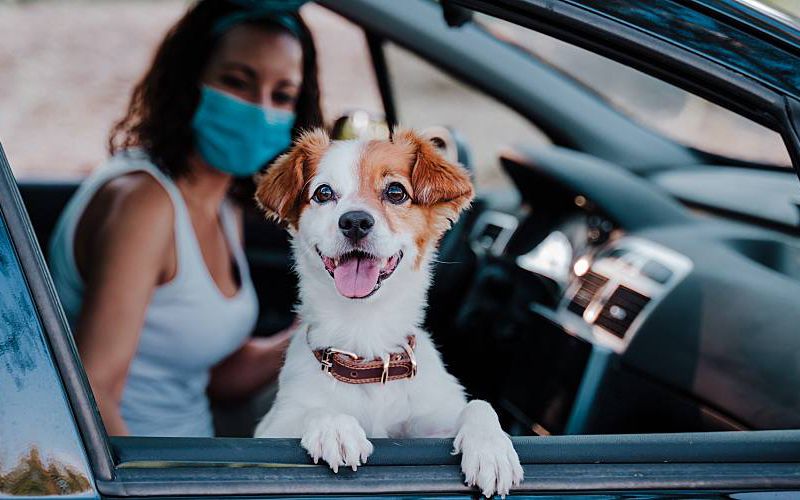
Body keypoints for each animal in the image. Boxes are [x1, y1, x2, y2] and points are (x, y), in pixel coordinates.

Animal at [253, 128, 520, 496]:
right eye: (323, 193)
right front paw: (334, 425)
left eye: (396, 192)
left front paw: (492, 448)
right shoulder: (269, 431)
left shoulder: (432, 424)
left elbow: (479, 405)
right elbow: (313, 411)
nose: (355, 221)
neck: (365, 339)